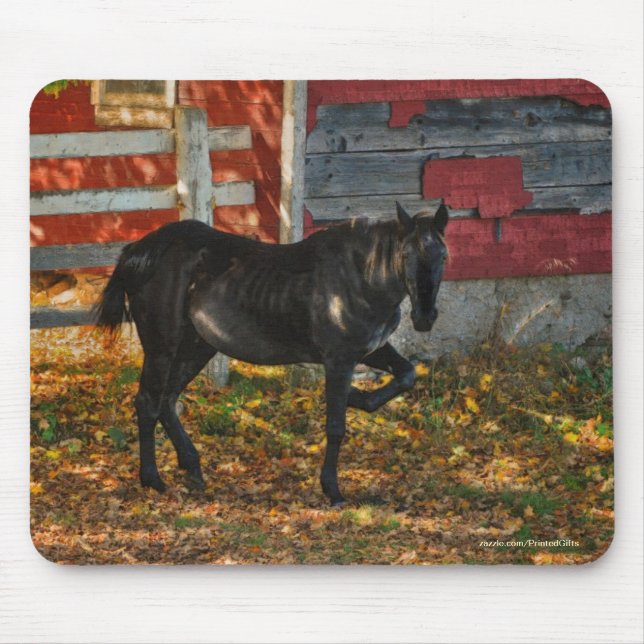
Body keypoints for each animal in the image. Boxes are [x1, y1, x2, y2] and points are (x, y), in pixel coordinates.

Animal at [95, 202, 449, 506]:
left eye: (443, 256)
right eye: (405, 254)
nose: (424, 317)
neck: (359, 277)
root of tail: (139, 252)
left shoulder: (369, 349)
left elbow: (406, 374)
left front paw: (359, 398)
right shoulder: (340, 359)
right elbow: (336, 427)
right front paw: (332, 490)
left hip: (197, 346)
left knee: (167, 401)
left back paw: (193, 468)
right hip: (162, 347)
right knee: (149, 402)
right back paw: (152, 479)